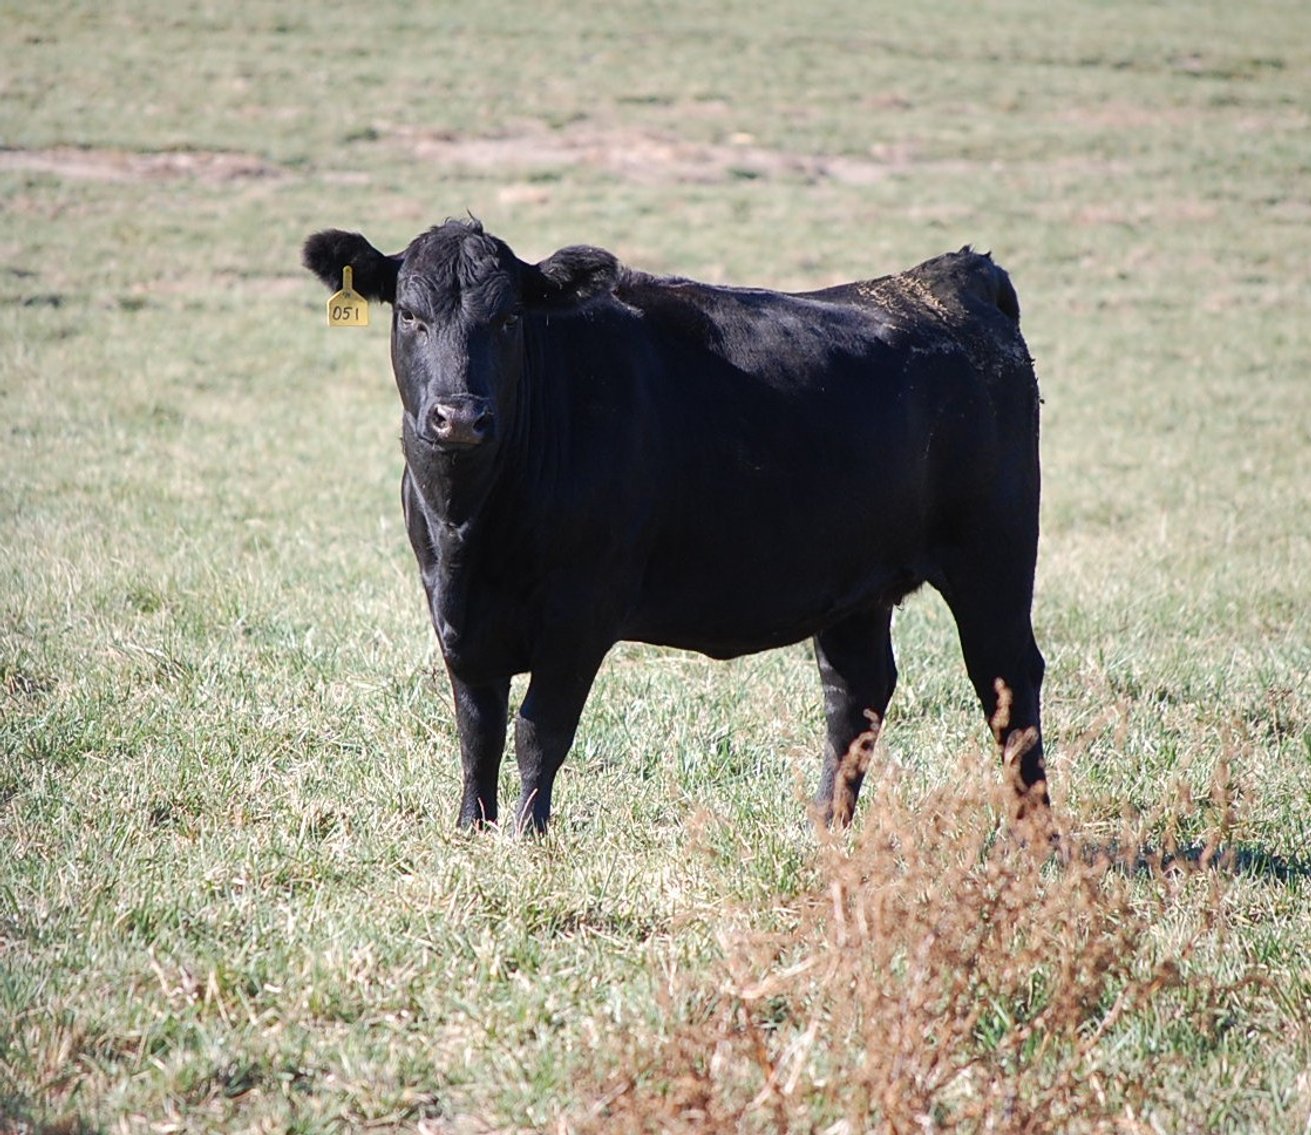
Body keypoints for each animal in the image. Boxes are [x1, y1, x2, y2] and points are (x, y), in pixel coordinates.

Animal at [303, 219, 1047, 833]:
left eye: (510, 317)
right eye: (409, 315)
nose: (459, 415)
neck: (468, 524)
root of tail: (949, 277)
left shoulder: (581, 612)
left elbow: (538, 729)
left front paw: (526, 835)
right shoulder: (450, 610)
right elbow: (476, 729)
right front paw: (471, 828)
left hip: (994, 556)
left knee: (1006, 681)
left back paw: (1033, 835)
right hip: (854, 585)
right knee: (856, 692)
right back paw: (825, 828)